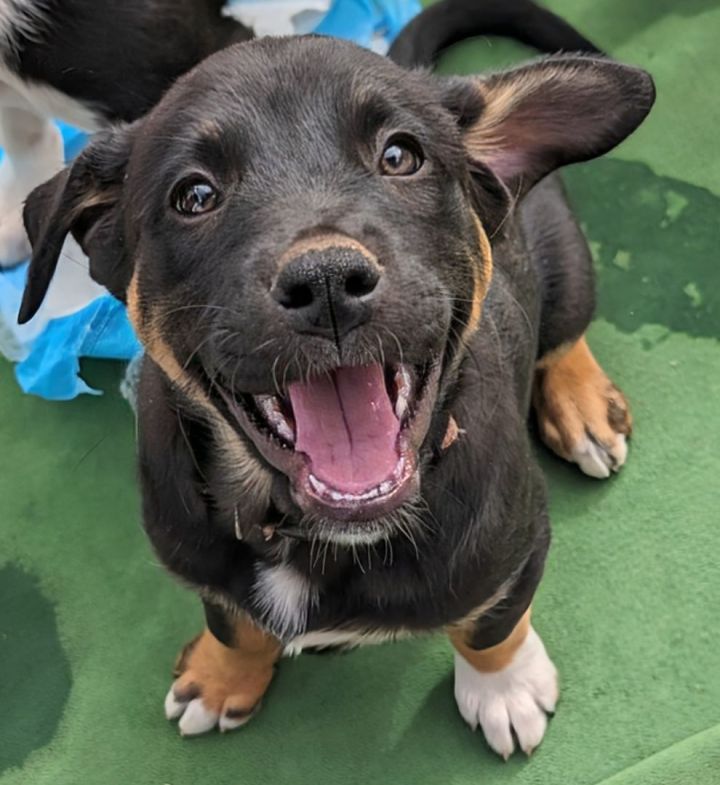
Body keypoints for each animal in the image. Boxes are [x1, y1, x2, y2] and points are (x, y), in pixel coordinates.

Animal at [18, 0, 660, 760]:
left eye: (400, 156)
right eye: (194, 195)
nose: (327, 282)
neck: (311, 530)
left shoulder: (517, 544)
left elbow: (489, 624)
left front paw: (503, 689)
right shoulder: (202, 555)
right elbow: (233, 618)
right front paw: (223, 674)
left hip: (564, 260)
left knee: (563, 331)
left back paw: (582, 404)